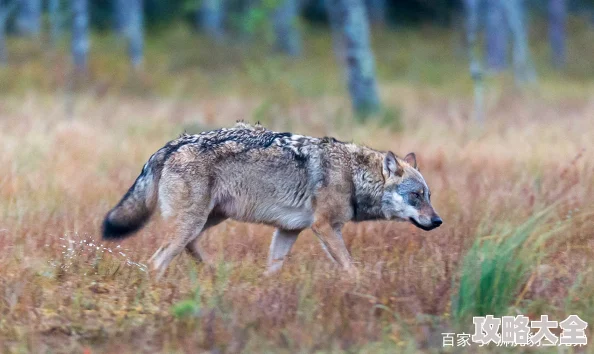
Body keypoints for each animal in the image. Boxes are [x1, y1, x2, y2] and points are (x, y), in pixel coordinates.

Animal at [100, 123, 440, 278]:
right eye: (415, 196)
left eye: (429, 196)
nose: (438, 221)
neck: (352, 175)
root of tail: (170, 145)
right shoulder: (325, 228)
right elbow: (349, 267)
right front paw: (362, 287)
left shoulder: (288, 230)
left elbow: (273, 269)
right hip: (193, 222)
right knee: (156, 261)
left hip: (207, 219)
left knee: (190, 247)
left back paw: (215, 272)